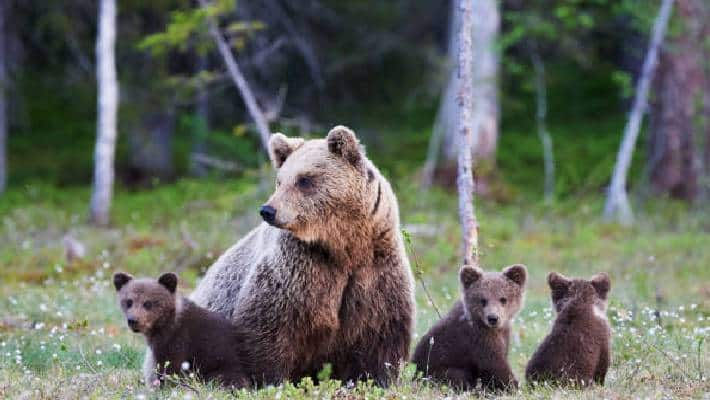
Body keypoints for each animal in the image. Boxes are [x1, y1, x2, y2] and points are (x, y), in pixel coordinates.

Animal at [142, 126, 414, 388]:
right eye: (280, 180)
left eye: (304, 179)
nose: (268, 210)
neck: (342, 246)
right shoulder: (298, 270)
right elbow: (269, 328)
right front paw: (269, 380)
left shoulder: (374, 270)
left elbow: (379, 334)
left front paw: (373, 379)